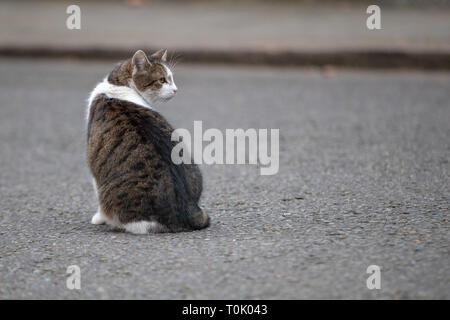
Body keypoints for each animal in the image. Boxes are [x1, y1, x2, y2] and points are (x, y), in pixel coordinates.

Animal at [85, 50, 209, 234]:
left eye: (171, 78)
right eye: (162, 80)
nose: (176, 89)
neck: (119, 85)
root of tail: (187, 210)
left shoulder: (95, 166)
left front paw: (98, 218)